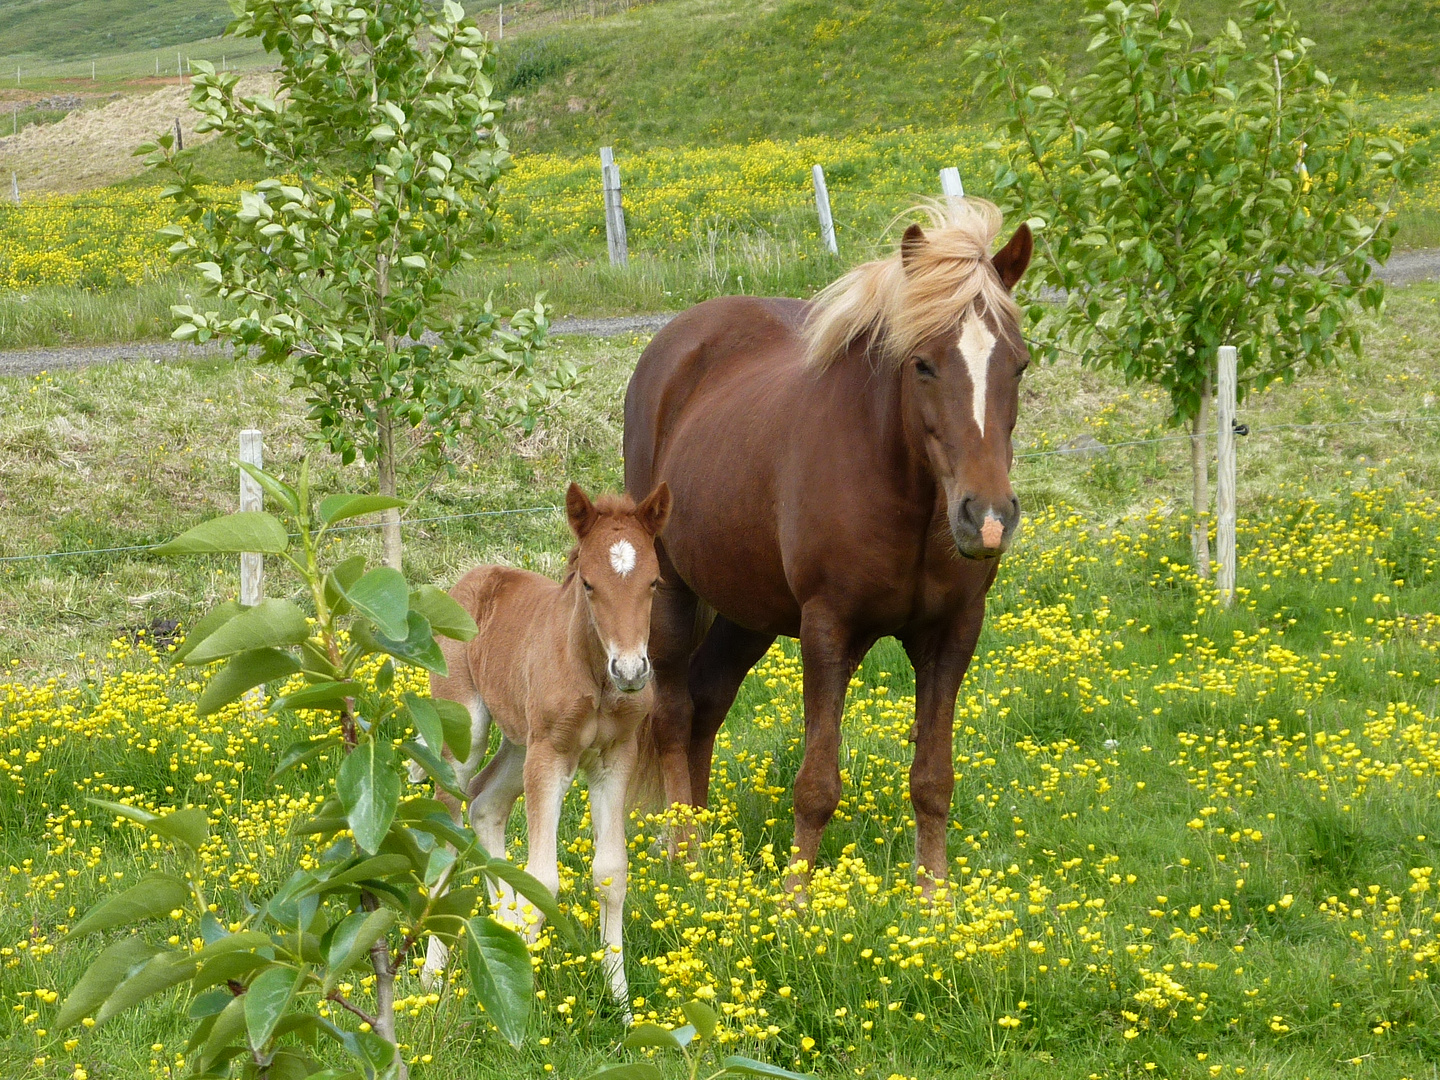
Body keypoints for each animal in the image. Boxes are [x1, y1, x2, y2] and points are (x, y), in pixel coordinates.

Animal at [420, 480, 671, 1013]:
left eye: (655, 583)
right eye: (589, 584)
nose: (631, 670)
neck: (594, 675)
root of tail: (471, 578)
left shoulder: (614, 757)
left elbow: (611, 874)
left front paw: (621, 1004)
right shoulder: (552, 756)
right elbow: (542, 879)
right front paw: (525, 1006)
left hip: (521, 742)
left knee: (485, 802)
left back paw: (505, 924)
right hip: (472, 732)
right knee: (449, 812)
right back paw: (432, 973)